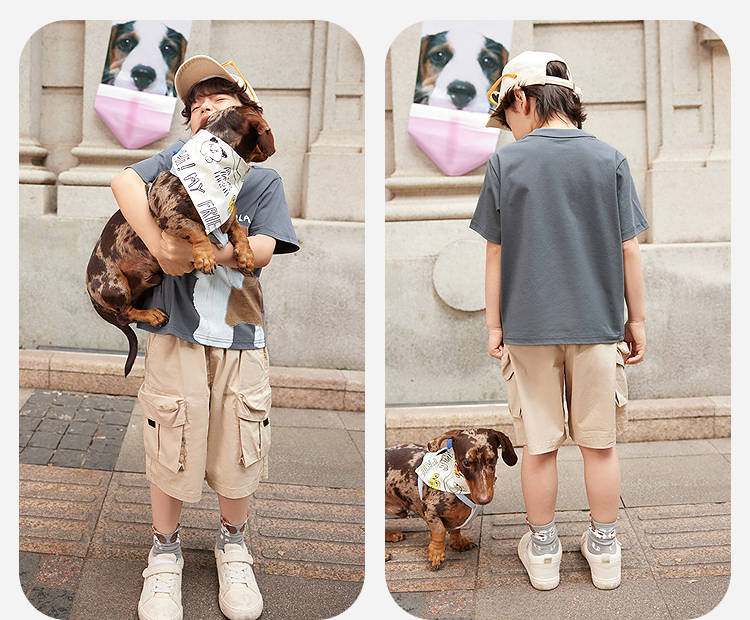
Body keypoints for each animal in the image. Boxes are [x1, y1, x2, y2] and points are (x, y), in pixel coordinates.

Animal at [86, 104, 274, 376]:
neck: (211, 177)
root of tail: (92, 296)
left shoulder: (228, 220)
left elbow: (240, 232)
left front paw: (247, 256)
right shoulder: (170, 216)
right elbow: (196, 228)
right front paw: (205, 255)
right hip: (115, 285)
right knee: (124, 314)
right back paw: (152, 315)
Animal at [385, 428, 517, 568]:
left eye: (491, 459)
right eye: (466, 463)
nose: (484, 499)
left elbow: (456, 529)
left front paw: (458, 541)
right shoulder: (429, 512)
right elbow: (440, 531)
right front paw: (436, 553)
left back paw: (392, 535)